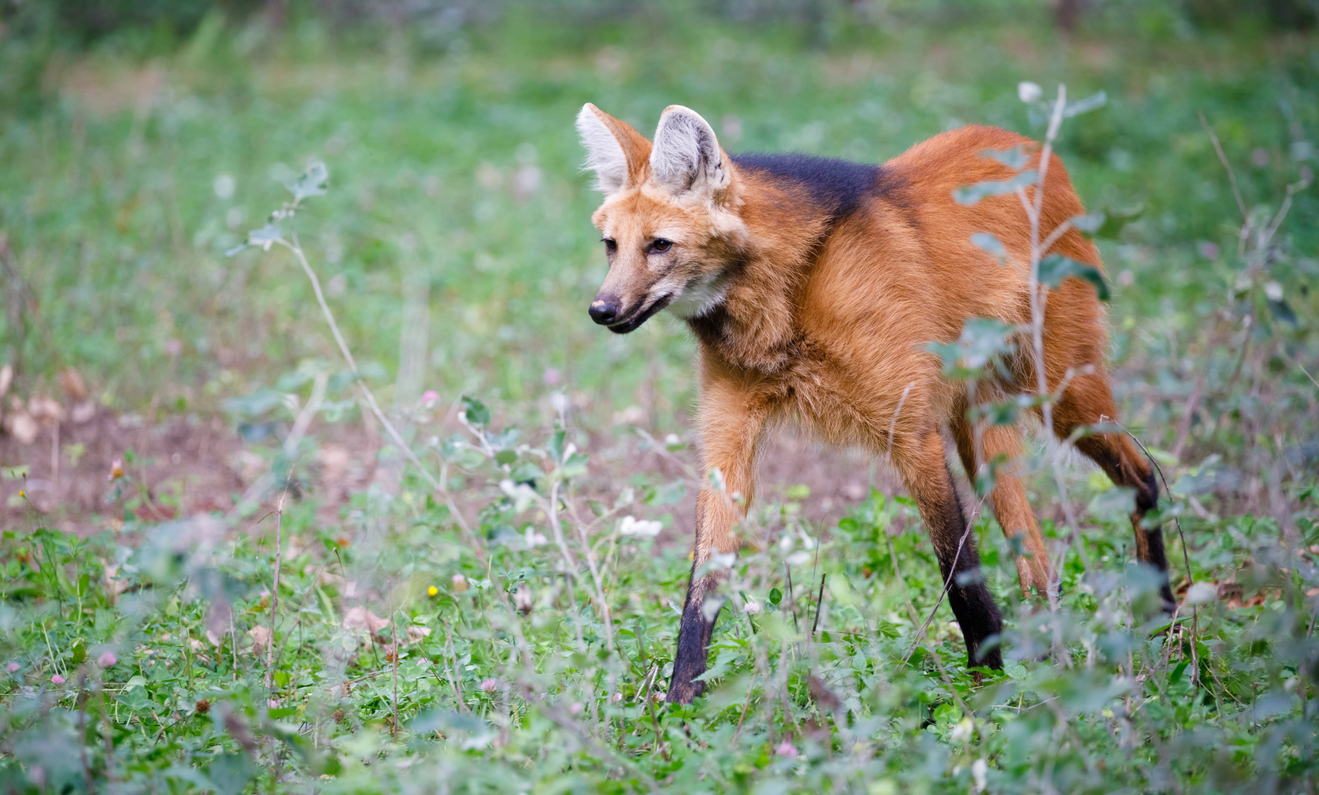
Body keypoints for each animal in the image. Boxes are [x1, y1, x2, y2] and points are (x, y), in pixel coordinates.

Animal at [572, 102, 1171, 706]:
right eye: (610, 245)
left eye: (660, 245)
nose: (601, 310)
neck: (786, 292)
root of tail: (1032, 147)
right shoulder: (728, 439)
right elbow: (703, 584)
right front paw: (679, 707)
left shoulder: (911, 432)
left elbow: (958, 569)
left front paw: (983, 690)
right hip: (978, 424)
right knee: (1038, 565)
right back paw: (1054, 667)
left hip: (1063, 392)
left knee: (1142, 476)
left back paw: (1160, 621)